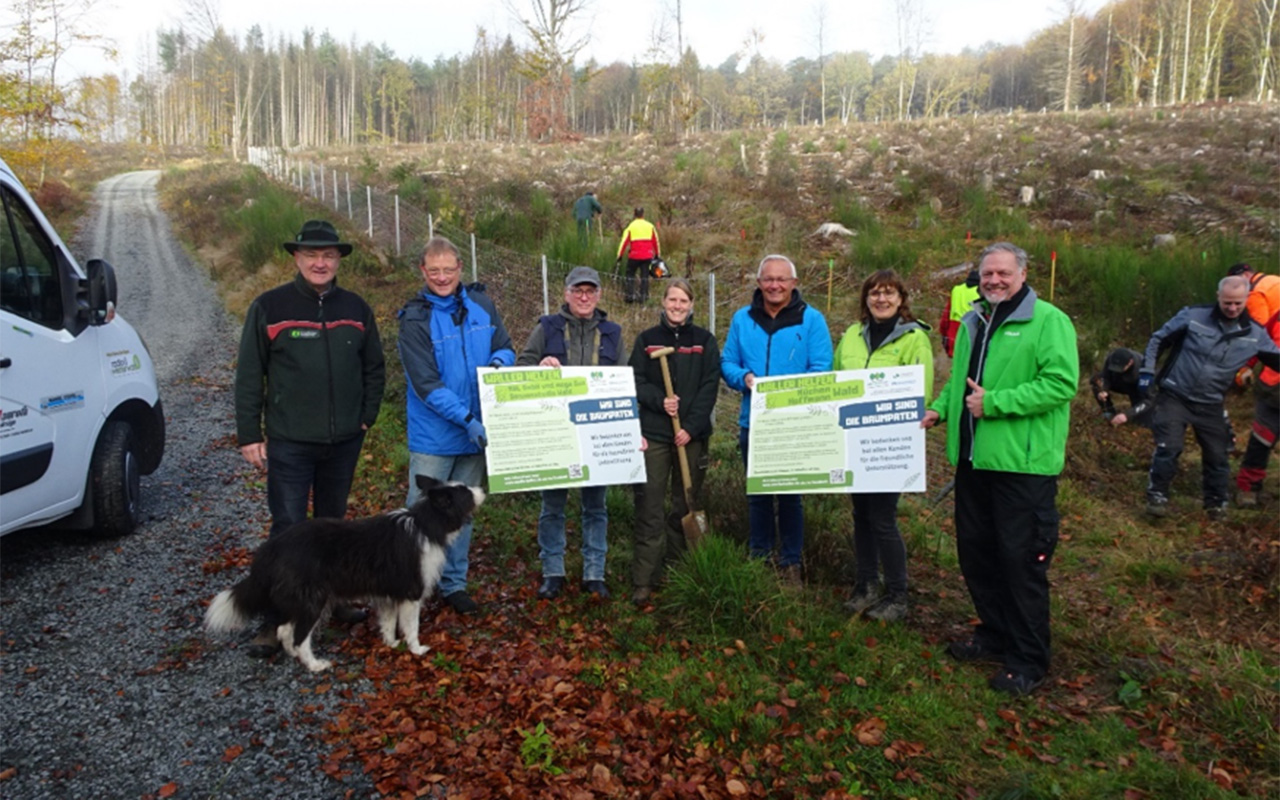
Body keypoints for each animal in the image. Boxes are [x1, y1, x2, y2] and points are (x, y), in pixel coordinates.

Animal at [204, 471, 483, 670]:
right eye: (466, 493)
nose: (482, 489)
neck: (426, 524)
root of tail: (274, 547)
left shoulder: (389, 593)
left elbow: (388, 622)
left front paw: (391, 643)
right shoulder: (411, 593)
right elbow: (411, 626)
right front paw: (417, 650)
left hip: (301, 598)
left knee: (285, 630)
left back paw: (294, 654)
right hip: (313, 599)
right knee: (299, 636)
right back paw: (314, 664)